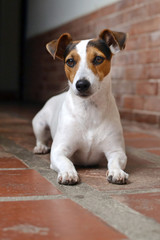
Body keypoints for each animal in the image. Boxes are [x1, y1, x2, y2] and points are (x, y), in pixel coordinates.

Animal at [32, 28, 129, 186]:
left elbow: (115, 161)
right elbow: (66, 162)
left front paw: (117, 172)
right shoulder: (59, 151)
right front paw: (68, 173)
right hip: (39, 123)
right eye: (70, 61)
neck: (89, 109)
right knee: (41, 137)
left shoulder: (116, 151)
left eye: (98, 59)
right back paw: (40, 147)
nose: (82, 84)